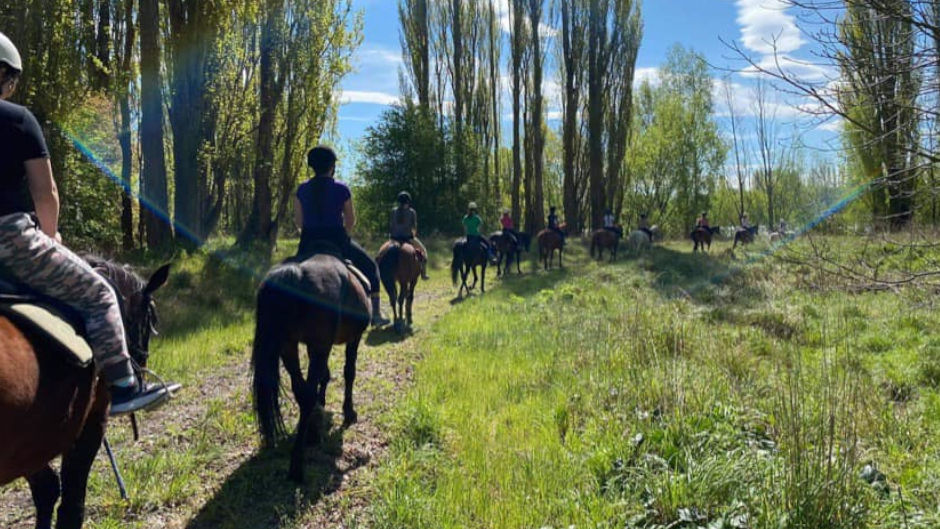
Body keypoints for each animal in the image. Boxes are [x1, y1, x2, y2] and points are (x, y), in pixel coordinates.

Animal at [0, 258, 169, 528]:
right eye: (150, 319)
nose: (139, 376)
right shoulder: (90, 423)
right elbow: (71, 507)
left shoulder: (29, 445)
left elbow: (46, 489)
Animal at [252, 253, 370, 482]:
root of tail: (297, 274)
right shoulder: (352, 338)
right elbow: (349, 372)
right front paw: (349, 411)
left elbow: (324, 377)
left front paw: (321, 405)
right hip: (318, 345)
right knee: (307, 394)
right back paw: (298, 464)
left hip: (288, 346)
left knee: (301, 390)